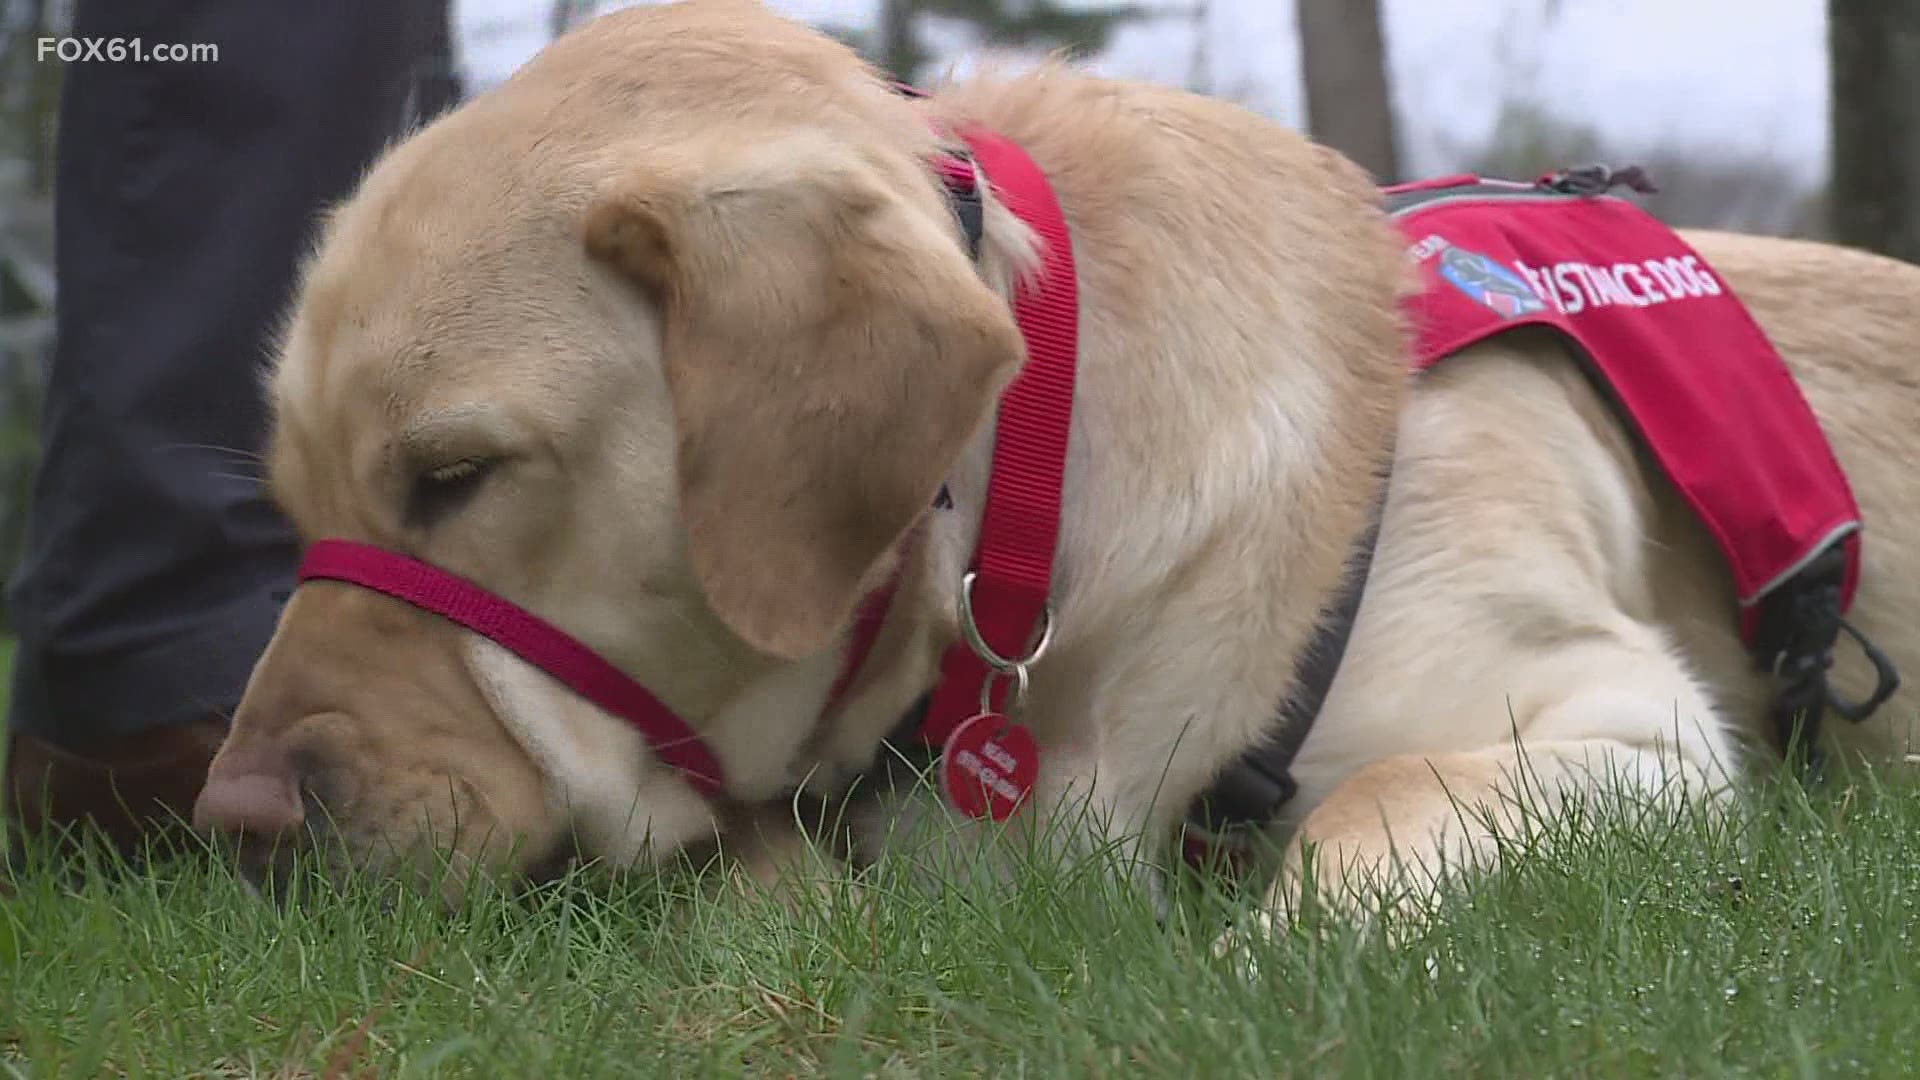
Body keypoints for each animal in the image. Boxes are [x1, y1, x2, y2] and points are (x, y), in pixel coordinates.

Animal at [194, 2, 1920, 926]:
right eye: (296, 507)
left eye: (453, 475)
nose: (233, 822)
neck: (1034, 513)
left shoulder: (1628, 724)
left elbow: (1382, 801)